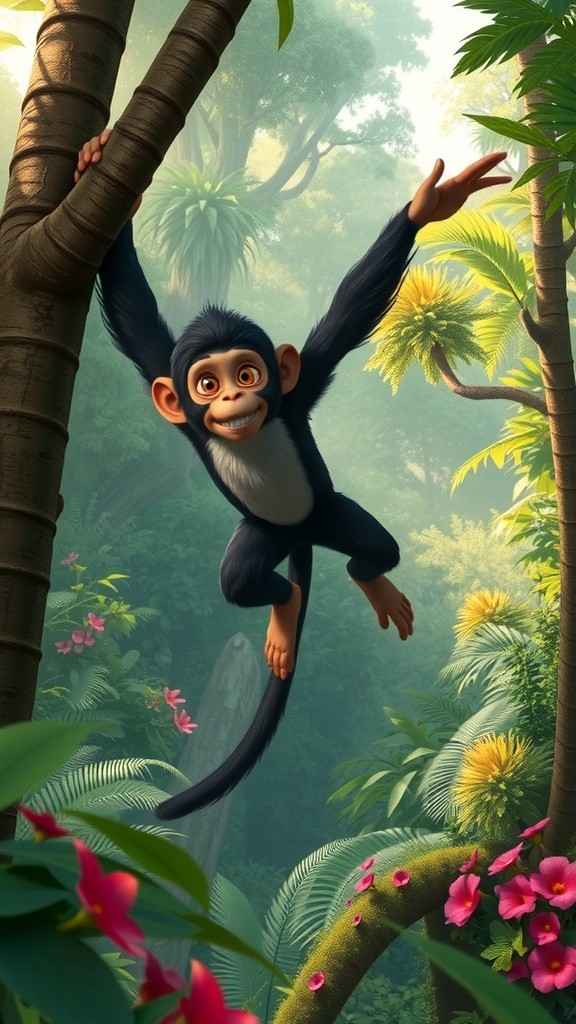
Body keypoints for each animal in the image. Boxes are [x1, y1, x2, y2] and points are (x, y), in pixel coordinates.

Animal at [76, 133, 511, 818]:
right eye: (207, 383)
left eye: (247, 374)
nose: (233, 400)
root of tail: (301, 533)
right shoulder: (180, 406)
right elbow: (132, 313)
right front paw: (96, 161)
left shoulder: (299, 387)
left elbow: (350, 314)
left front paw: (430, 205)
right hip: (263, 531)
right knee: (241, 579)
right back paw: (287, 603)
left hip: (328, 511)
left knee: (375, 549)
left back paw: (358, 583)